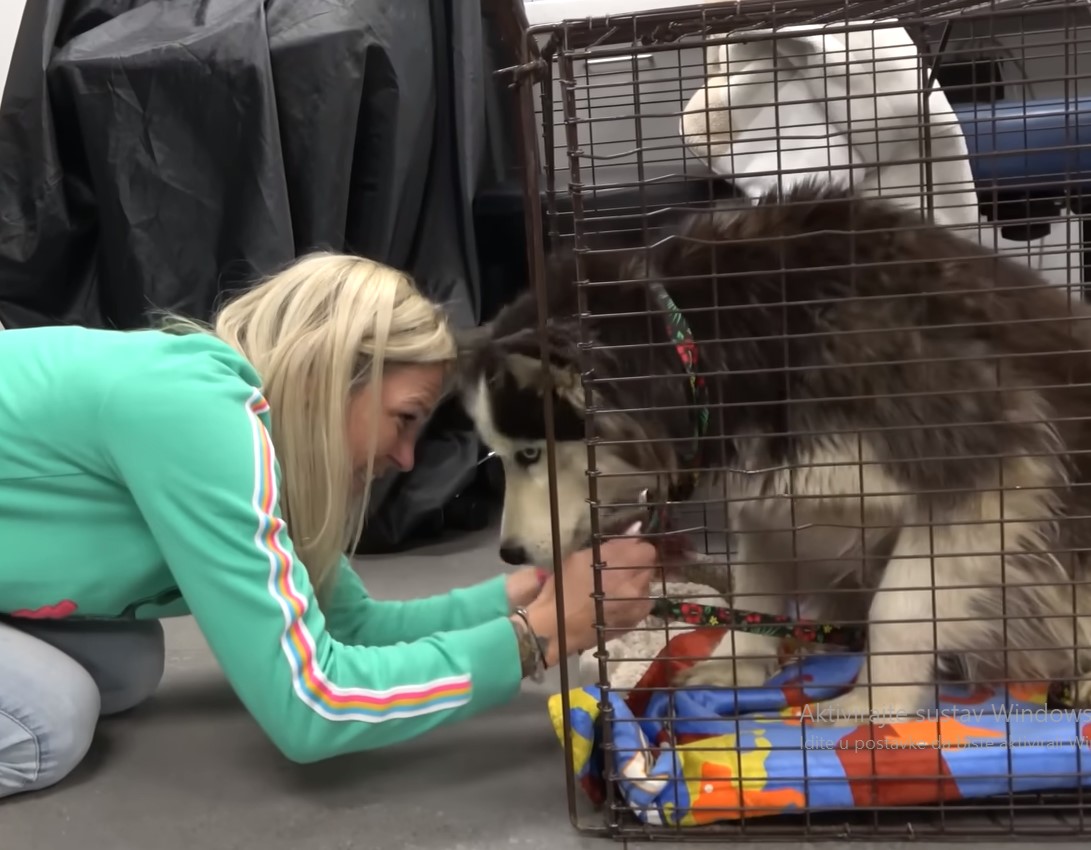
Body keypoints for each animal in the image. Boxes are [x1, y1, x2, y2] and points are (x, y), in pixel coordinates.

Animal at [453, 183, 1091, 720]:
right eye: (501, 457)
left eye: (530, 454)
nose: (509, 553)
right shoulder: (777, 490)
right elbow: (757, 589)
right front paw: (732, 663)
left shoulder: (993, 466)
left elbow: (898, 610)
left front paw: (873, 704)